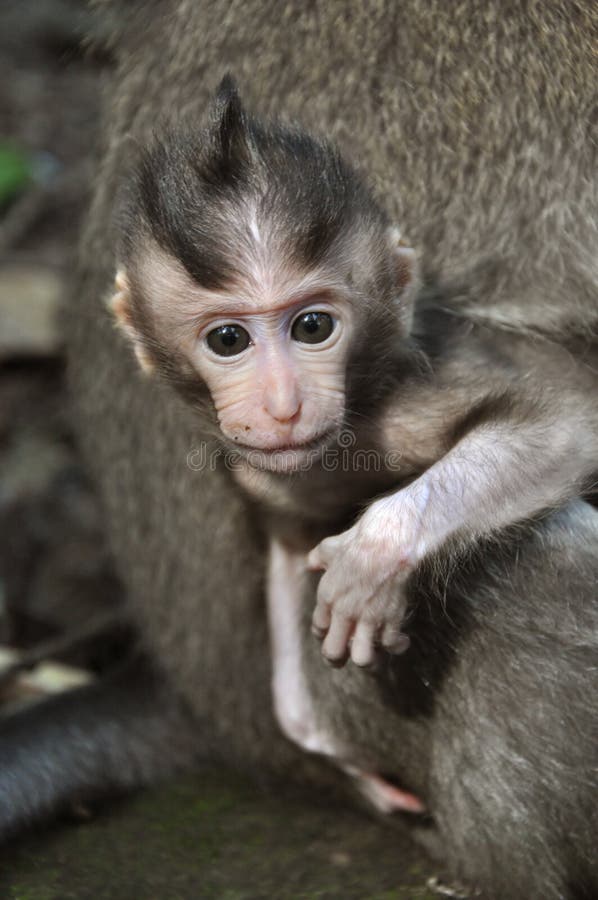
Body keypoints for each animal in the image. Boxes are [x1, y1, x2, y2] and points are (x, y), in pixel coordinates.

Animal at [110, 77, 598, 684]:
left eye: (313, 327)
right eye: (228, 340)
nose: (283, 406)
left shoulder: (407, 408)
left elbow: (566, 425)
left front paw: (371, 560)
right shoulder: (268, 480)